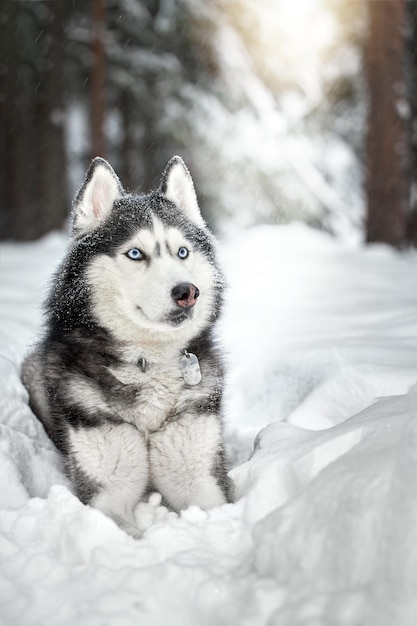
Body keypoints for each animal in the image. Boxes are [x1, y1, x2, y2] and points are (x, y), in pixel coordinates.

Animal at [22, 154, 229, 532]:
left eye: (182, 252)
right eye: (135, 253)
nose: (187, 292)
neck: (147, 362)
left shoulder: (200, 476)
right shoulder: (107, 492)